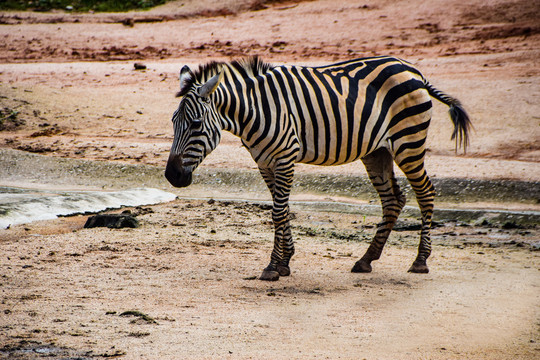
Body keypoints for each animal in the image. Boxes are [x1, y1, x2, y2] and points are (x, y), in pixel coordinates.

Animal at [166, 55, 472, 282]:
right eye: (172, 122)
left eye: (195, 124)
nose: (171, 176)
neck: (256, 112)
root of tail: (414, 71)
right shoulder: (265, 162)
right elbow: (282, 210)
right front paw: (285, 261)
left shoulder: (285, 157)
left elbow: (278, 212)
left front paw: (273, 267)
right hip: (377, 151)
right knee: (393, 199)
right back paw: (366, 260)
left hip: (408, 142)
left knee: (425, 193)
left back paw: (420, 260)